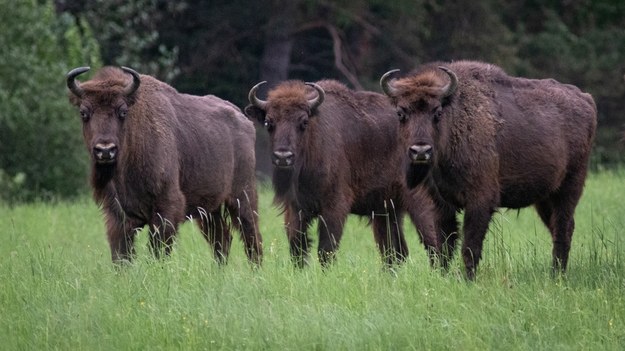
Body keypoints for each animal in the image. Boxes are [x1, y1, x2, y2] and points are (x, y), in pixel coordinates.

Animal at [67, 65, 262, 264]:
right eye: (83, 113)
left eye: (122, 111)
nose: (105, 150)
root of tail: (244, 120)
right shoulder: (117, 216)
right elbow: (121, 255)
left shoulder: (166, 208)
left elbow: (158, 250)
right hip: (209, 209)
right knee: (222, 238)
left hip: (242, 196)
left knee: (251, 236)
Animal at [244, 79, 438, 266]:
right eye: (269, 122)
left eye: (304, 121)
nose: (283, 157)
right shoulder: (295, 209)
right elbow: (297, 249)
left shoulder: (334, 207)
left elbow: (326, 250)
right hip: (387, 211)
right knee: (395, 252)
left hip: (419, 203)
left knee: (432, 243)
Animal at [378, 61, 596, 280]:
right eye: (400, 113)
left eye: (437, 112)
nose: (421, 151)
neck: (455, 121)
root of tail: (585, 98)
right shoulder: (441, 205)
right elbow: (444, 245)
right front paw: (443, 276)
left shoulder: (480, 201)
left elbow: (470, 246)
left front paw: (469, 280)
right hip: (544, 198)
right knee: (559, 227)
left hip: (568, 189)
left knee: (563, 228)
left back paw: (556, 275)